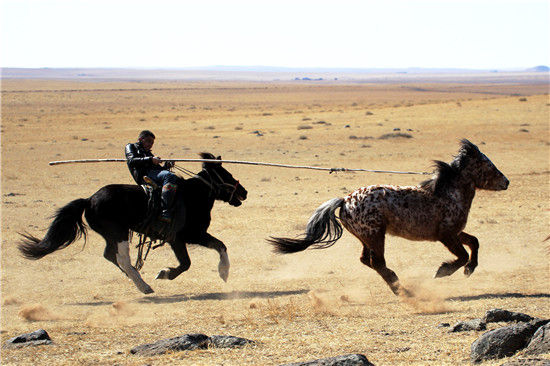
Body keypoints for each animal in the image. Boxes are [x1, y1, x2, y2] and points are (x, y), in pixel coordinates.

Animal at [18, 153, 248, 294]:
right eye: (226, 174)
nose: (244, 192)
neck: (192, 196)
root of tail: (89, 200)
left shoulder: (180, 238)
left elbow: (205, 253)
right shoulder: (189, 235)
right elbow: (197, 257)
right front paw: (222, 272)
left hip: (112, 234)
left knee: (110, 255)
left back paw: (133, 278)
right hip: (117, 232)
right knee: (122, 258)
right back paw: (143, 285)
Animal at [270, 139, 512, 296]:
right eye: (489, 165)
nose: (506, 182)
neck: (448, 194)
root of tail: (345, 200)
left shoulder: (455, 232)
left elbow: (474, 242)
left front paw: (470, 269)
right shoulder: (446, 236)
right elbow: (461, 255)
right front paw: (443, 271)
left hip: (366, 237)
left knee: (366, 260)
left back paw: (397, 284)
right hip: (376, 235)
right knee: (377, 262)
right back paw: (401, 288)